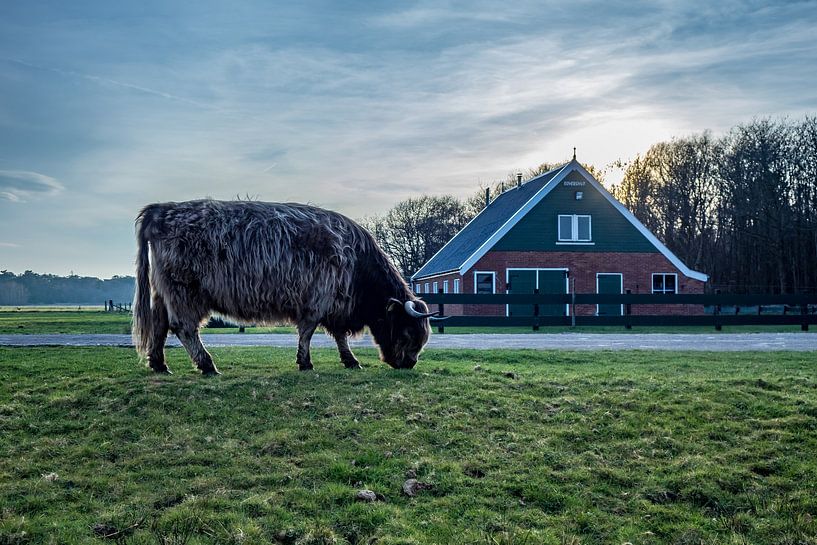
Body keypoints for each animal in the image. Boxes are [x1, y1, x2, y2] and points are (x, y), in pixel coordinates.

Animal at [132, 200, 440, 374]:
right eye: (408, 333)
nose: (410, 364)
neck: (356, 263)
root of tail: (162, 209)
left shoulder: (333, 306)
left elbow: (337, 335)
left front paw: (350, 361)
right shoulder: (318, 300)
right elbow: (309, 332)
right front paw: (306, 363)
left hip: (162, 291)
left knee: (159, 324)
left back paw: (159, 365)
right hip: (185, 290)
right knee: (183, 327)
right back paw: (207, 366)